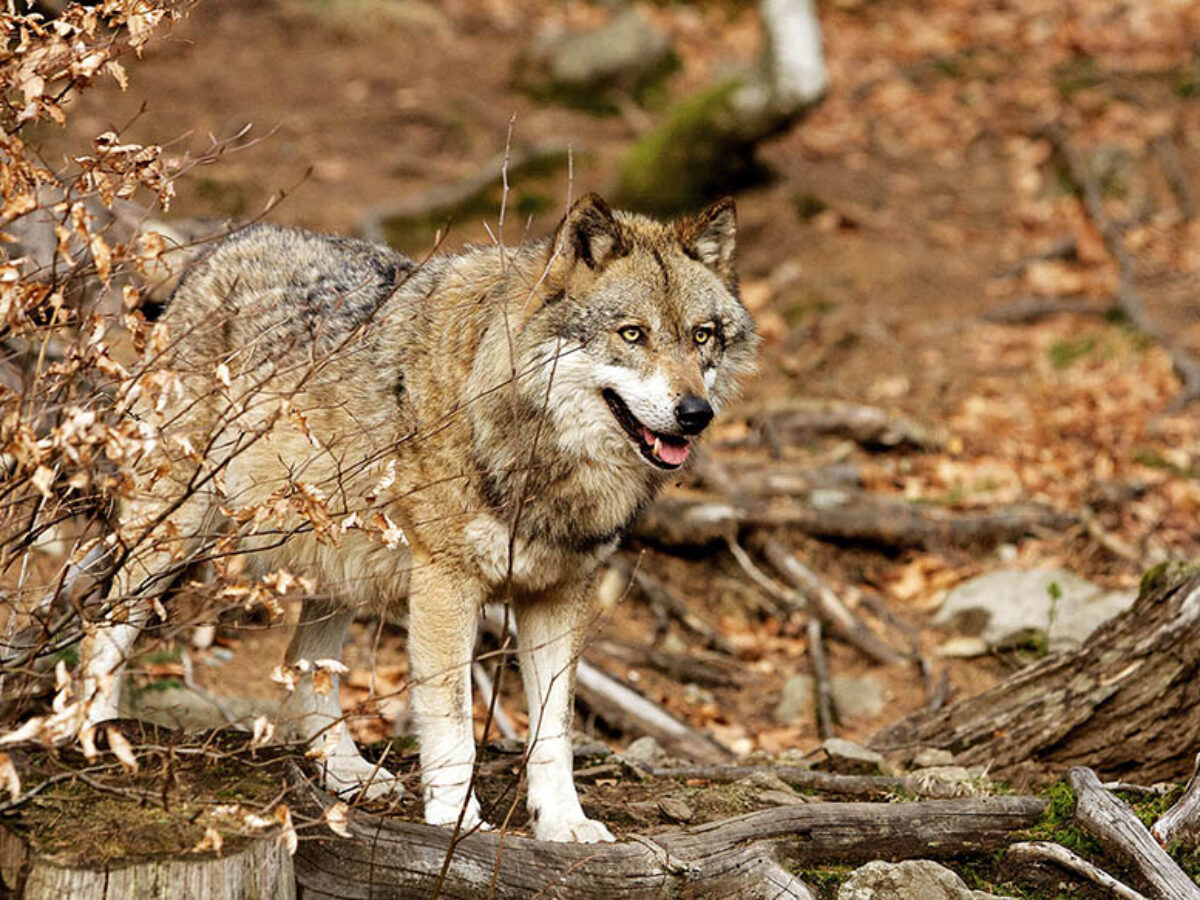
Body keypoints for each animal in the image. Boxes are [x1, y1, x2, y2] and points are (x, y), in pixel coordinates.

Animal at [79, 194, 758, 844]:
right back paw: (92, 735)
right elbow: (452, 722)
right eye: (632, 334)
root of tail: (224, 245)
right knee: (102, 624)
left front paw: (563, 823)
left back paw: (346, 773)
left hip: (337, 563)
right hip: (175, 532)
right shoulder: (444, 585)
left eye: (702, 336)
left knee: (302, 665)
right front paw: (457, 820)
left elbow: (555, 731)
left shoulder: (561, 593)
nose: (694, 413)